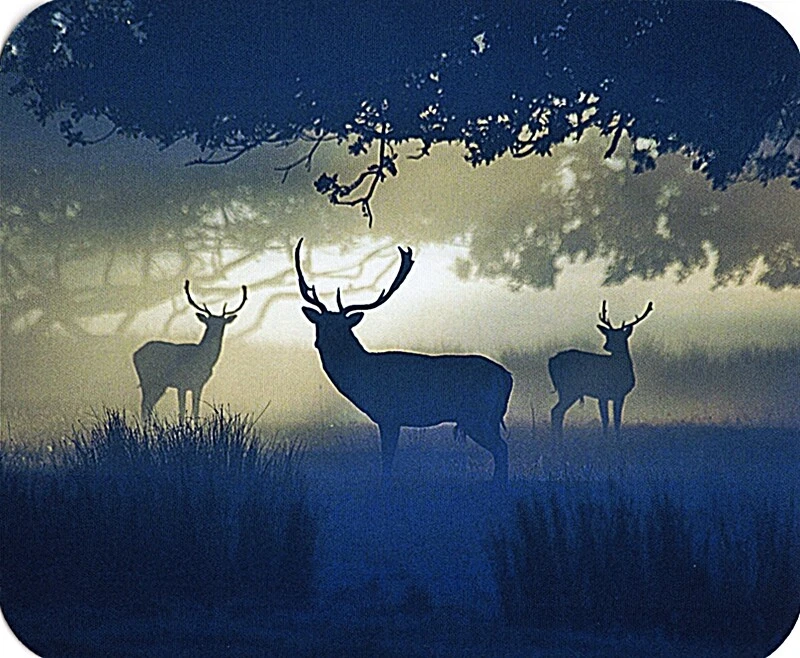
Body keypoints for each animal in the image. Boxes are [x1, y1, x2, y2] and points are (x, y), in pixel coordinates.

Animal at [133, 280, 247, 422]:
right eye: (209, 323)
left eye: (222, 324)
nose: (215, 335)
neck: (202, 360)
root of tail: (135, 354)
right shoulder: (181, 383)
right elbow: (182, 412)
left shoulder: (199, 385)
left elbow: (196, 410)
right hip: (149, 379)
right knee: (144, 405)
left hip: (158, 384)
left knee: (148, 405)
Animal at [294, 238, 513, 485]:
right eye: (320, 324)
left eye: (342, 327)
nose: (322, 342)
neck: (364, 376)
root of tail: (507, 377)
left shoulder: (389, 415)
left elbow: (387, 460)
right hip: (488, 417)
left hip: (476, 414)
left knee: (501, 448)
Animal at [548, 300, 653, 438]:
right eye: (608, 335)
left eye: (619, 336)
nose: (606, 345)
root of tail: (551, 361)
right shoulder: (609, 393)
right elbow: (610, 419)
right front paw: (610, 439)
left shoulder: (612, 395)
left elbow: (613, 419)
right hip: (569, 389)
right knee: (556, 411)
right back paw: (558, 439)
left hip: (565, 390)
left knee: (557, 411)